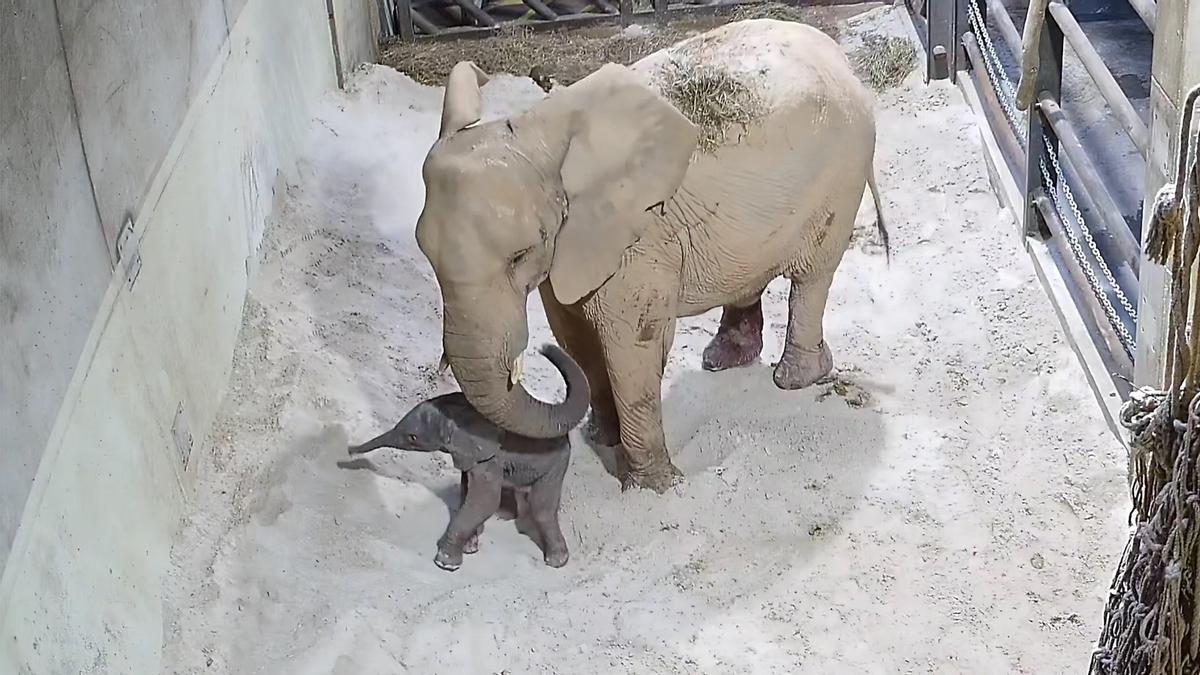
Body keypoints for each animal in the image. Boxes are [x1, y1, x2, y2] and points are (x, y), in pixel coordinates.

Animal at [414, 19, 887, 493]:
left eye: (520, 255)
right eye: (426, 256)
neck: (540, 135)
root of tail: (840, 57)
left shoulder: (634, 243)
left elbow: (632, 347)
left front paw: (656, 488)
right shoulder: (572, 249)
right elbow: (575, 337)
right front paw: (602, 440)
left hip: (840, 175)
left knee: (812, 277)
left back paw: (795, 379)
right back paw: (723, 360)